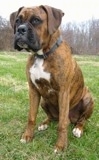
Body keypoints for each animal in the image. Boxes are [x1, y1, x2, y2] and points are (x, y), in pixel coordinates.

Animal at [9, 5, 94, 152]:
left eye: (36, 20)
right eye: (18, 21)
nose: (20, 29)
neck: (42, 55)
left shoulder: (63, 92)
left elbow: (62, 124)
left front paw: (60, 145)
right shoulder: (33, 90)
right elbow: (31, 117)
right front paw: (27, 136)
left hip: (88, 99)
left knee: (80, 120)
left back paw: (78, 129)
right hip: (44, 101)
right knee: (52, 117)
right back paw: (44, 124)